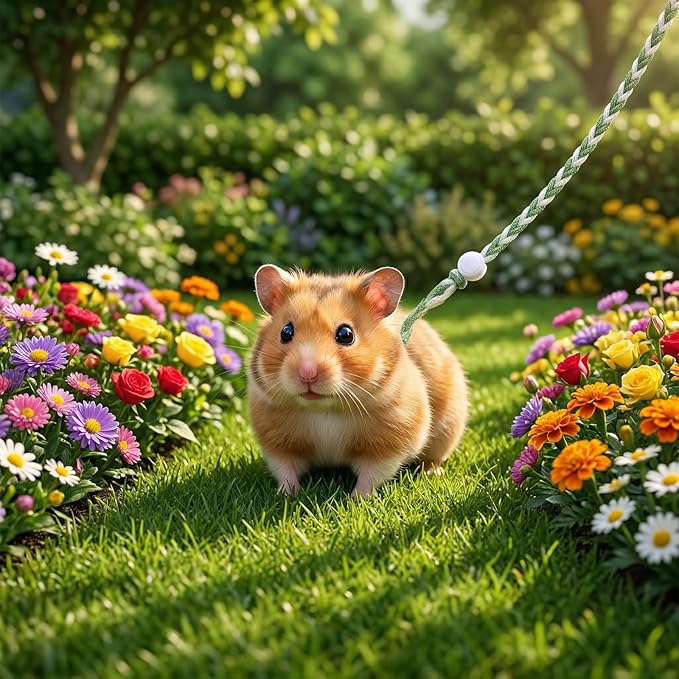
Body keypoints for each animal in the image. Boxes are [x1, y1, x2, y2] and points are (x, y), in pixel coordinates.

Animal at [247, 265, 469, 497]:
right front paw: (286, 494)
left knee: (434, 459)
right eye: (286, 332)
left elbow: (371, 475)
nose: (307, 373)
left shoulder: (389, 443)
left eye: (346, 334)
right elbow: (285, 469)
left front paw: (357, 498)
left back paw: (432, 473)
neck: (325, 409)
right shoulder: (276, 442)